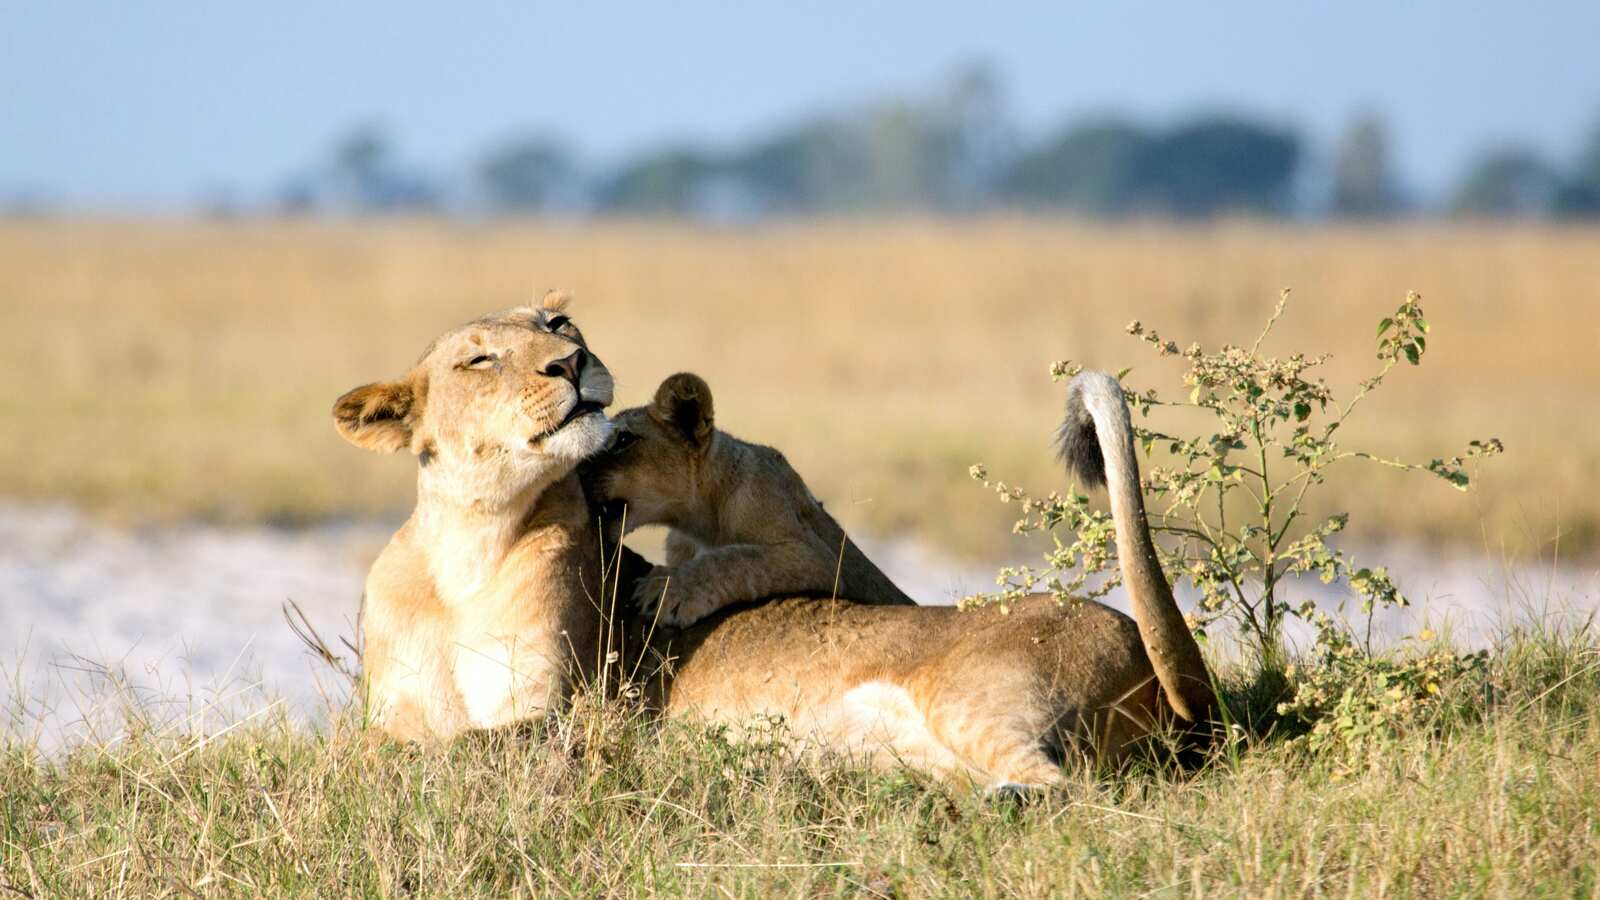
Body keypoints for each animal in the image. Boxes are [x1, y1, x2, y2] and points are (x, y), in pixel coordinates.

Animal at [332, 292, 617, 741]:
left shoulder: (551, 707)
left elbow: (464, 741)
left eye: (557, 323)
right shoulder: (386, 713)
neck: (471, 539)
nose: (571, 363)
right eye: (480, 360)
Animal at [595, 372, 914, 626]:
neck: (697, 520)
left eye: (624, 439)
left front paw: (667, 590)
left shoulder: (814, 557)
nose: (585, 469)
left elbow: (734, 558)